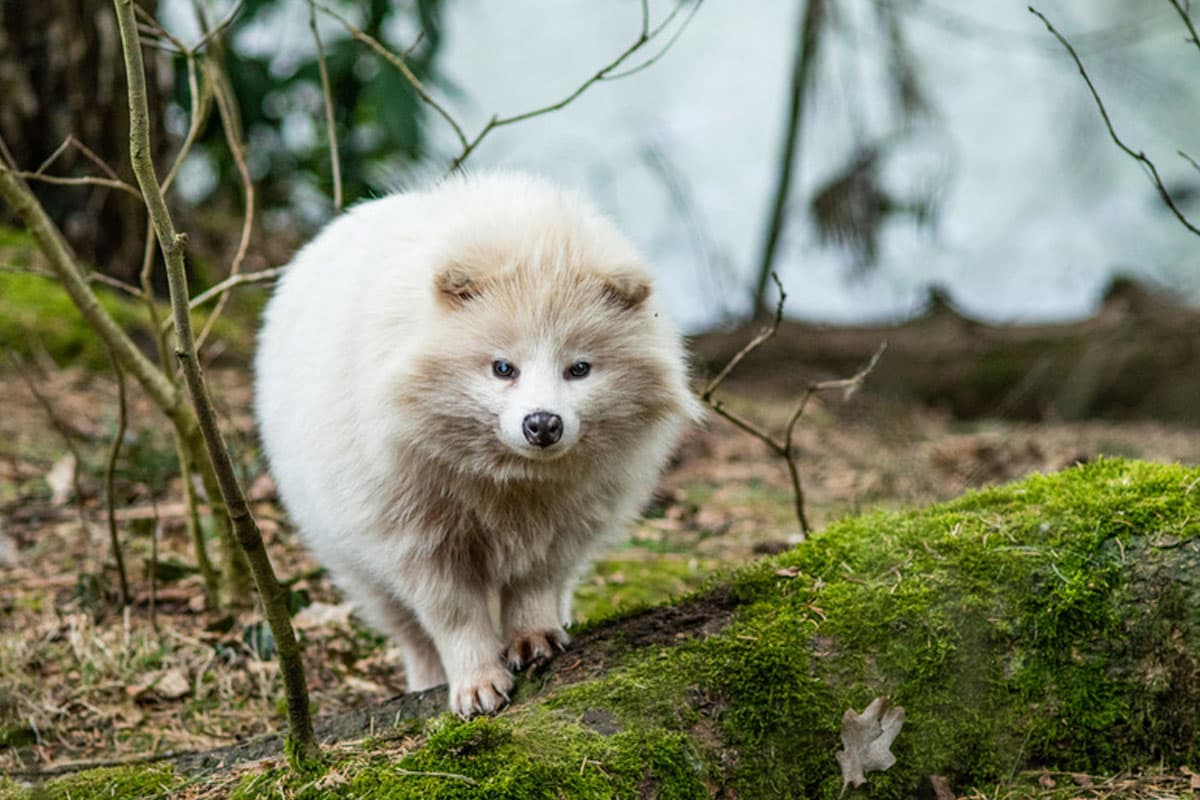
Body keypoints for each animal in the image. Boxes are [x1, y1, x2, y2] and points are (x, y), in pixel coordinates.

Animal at [258, 172, 700, 714]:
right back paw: (425, 679)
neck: (506, 481)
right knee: (407, 629)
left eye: (579, 368)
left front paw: (533, 638)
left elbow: (536, 583)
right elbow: (453, 614)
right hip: (349, 551)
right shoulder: (413, 533)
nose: (543, 424)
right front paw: (476, 681)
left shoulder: (568, 522)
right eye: (502, 368)